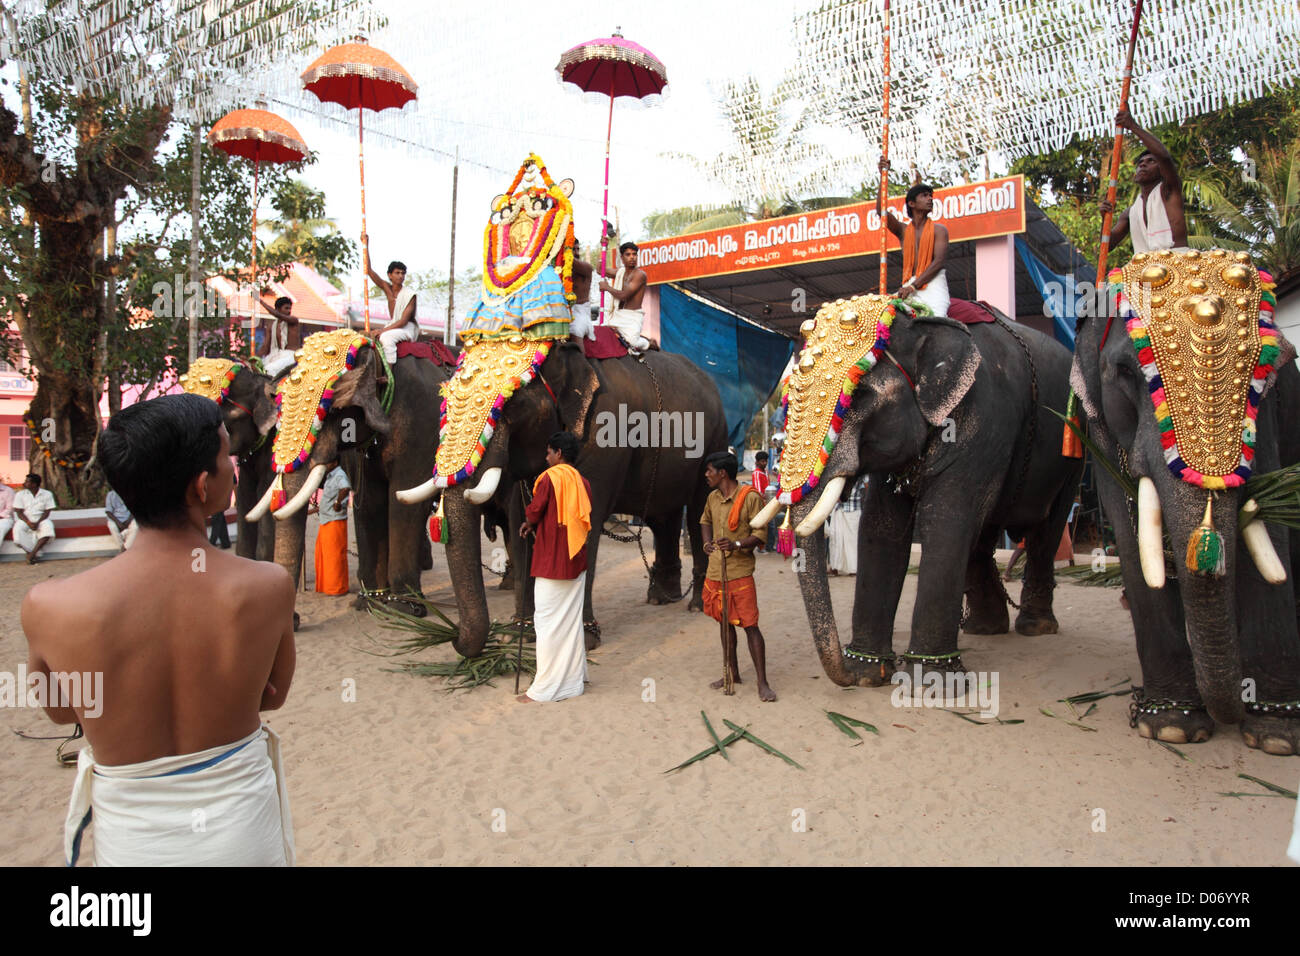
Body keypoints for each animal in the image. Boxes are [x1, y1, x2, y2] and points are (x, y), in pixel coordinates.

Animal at [245, 329, 454, 613]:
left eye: (331, 410)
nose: (295, 620)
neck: (379, 361)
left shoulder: (420, 427)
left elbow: (402, 500)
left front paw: (405, 609)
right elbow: (370, 503)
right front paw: (370, 603)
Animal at [400, 340, 728, 660]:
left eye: (513, 403)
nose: (452, 638)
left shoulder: (604, 437)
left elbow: (583, 522)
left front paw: (584, 641)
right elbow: (521, 521)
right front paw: (519, 634)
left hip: (715, 439)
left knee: (698, 510)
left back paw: (698, 605)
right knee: (664, 518)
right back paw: (662, 599)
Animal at [748, 295, 1081, 686]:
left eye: (859, 394)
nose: (845, 674)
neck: (919, 324)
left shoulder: (984, 418)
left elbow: (946, 518)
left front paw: (931, 681)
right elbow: (881, 527)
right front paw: (869, 672)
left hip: (1073, 449)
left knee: (1046, 529)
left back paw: (1035, 627)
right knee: (982, 536)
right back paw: (985, 628)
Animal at [1066, 248, 1300, 754]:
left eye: (1268, 368)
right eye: (1126, 372)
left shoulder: (1270, 421)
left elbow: (1269, 539)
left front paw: (1277, 736)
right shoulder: (1100, 429)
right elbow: (1132, 541)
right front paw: (1170, 725)